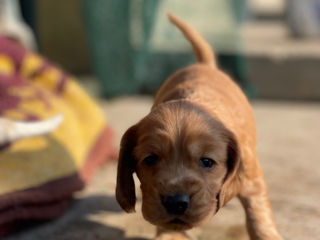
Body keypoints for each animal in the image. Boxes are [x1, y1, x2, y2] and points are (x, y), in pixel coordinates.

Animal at [115, 13, 282, 240]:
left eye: (207, 162)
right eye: (150, 159)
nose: (175, 203)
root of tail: (205, 64)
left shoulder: (251, 180)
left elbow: (258, 215)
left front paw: (267, 234)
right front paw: (170, 234)